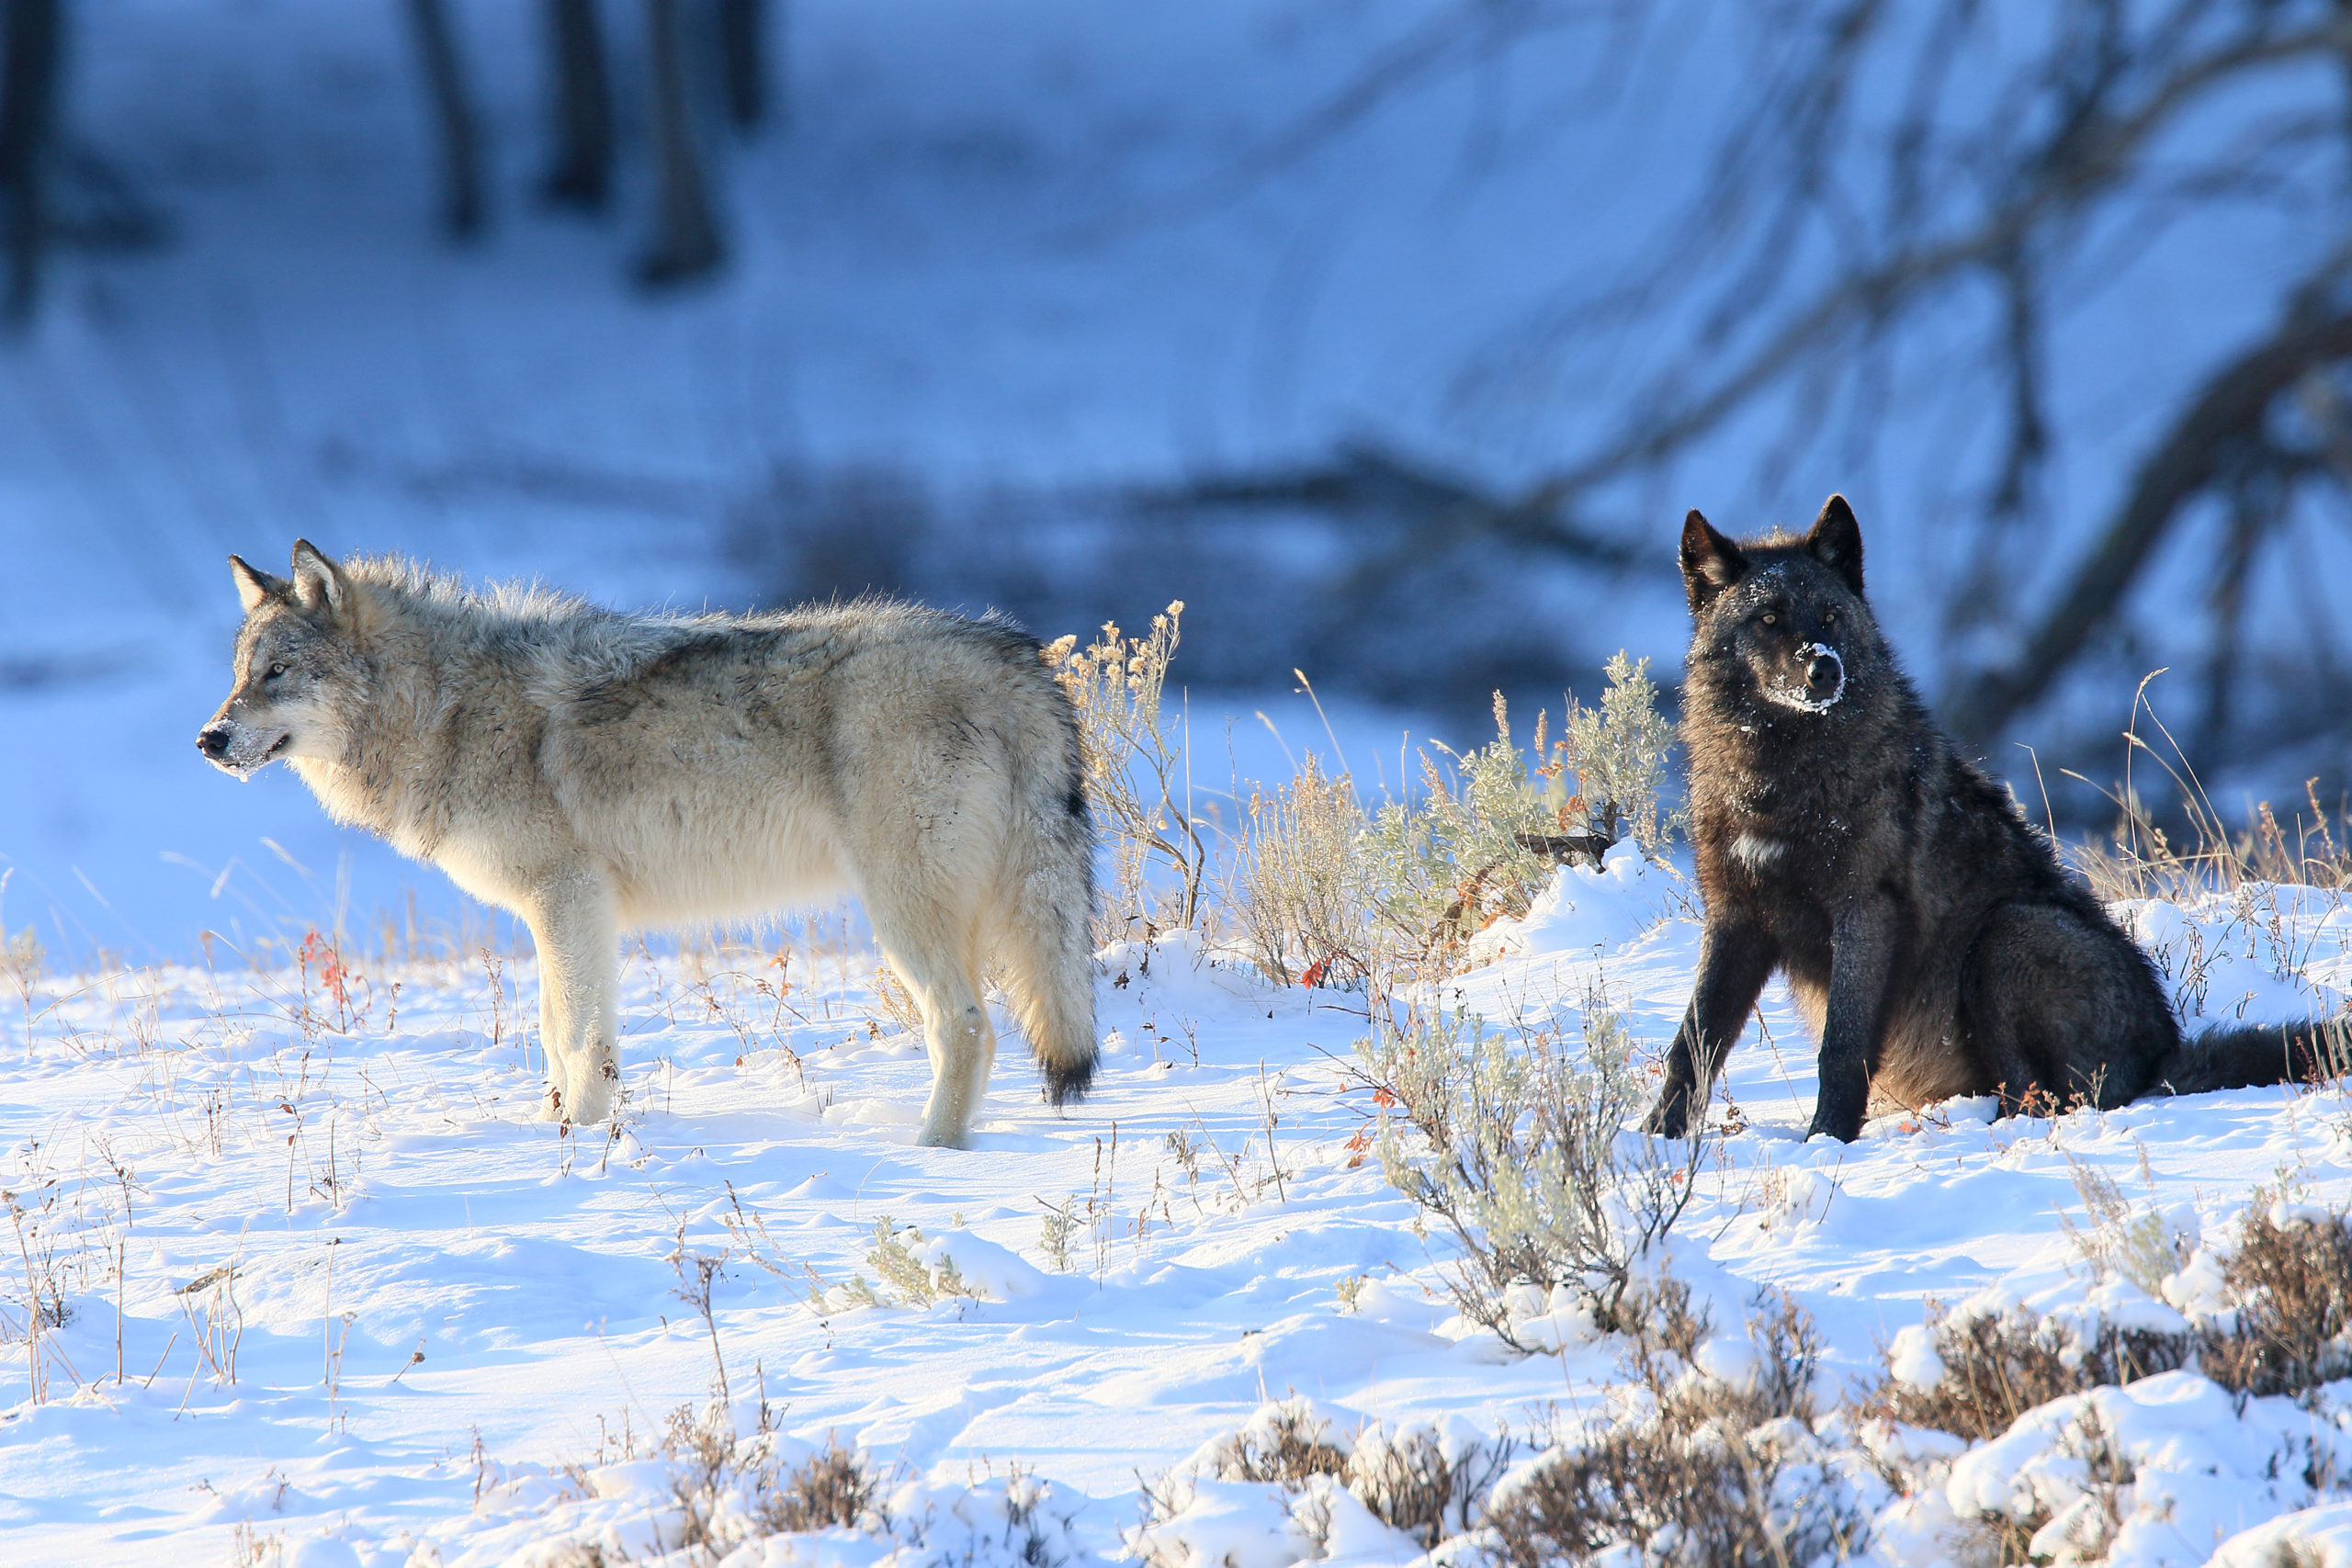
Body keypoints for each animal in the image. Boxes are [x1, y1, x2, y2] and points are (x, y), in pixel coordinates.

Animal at [192, 545, 1091, 1146]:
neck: (443, 709)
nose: (208, 738)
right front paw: (558, 1131)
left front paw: (582, 1143)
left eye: (277, 673)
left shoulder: (569, 898)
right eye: (238, 674)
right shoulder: (562, 912)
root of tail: (1013, 653)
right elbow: (563, 1032)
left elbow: (576, 1037)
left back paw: (930, 1151)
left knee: (966, 1025)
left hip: (902, 910)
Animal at [1646, 501, 2324, 1142]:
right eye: (1768, 619)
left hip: (2004, 935)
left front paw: (1826, 1142)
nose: (1824, 668)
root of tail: (2161, 1055)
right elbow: (1692, 1044)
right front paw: (1657, 1138)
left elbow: (1840, 1047)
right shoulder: (1736, 916)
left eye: (1831, 618)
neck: (1778, 776)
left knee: (2042, 1097)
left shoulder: (1865, 910)